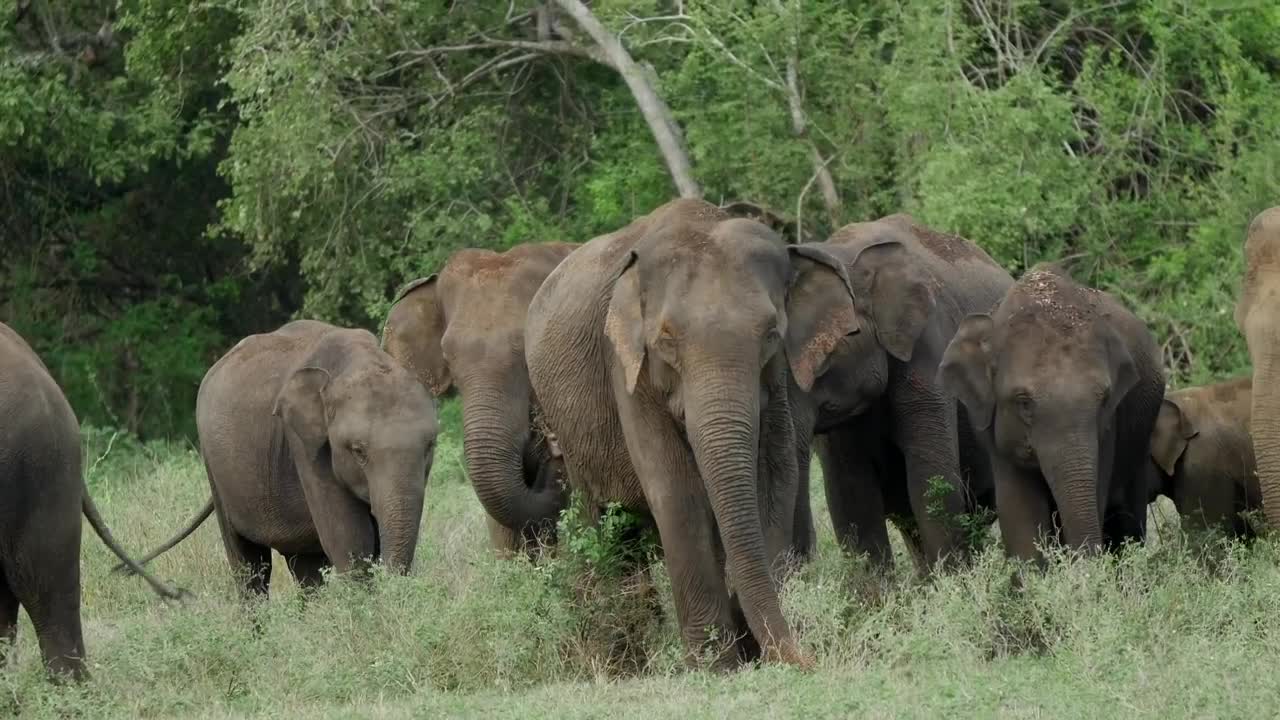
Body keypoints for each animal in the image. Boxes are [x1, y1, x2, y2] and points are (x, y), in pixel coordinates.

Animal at [126, 320, 437, 596]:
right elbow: (349, 539)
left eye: (429, 447)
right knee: (249, 565)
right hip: (215, 469)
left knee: (304, 567)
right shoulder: (304, 445)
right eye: (358, 451)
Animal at [524, 198, 856, 669]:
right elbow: (676, 489)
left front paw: (748, 649)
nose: (808, 659)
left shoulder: (778, 383)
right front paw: (713, 665)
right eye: (666, 339)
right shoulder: (626, 368)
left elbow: (775, 477)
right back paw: (619, 662)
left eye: (772, 334)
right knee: (599, 520)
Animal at [784, 215, 1011, 572]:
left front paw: (950, 583)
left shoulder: (928, 346)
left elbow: (930, 482)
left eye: (828, 348)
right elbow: (850, 495)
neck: (842, 252)